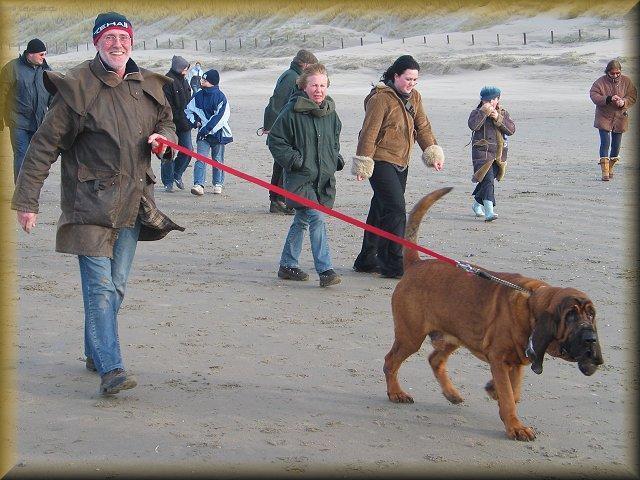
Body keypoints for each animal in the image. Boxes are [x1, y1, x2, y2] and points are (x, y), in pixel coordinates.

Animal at [384, 187, 604, 438]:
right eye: (570, 315)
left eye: (591, 314)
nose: (591, 338)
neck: (531, 306)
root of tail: (416, 264)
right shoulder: (499, 359)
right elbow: (509, 396)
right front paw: (515, 426)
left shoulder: (517, 362)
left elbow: (513, 392)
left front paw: (495, 392)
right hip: (410, 337)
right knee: (390, 362)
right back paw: (396, 392)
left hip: (454, 334)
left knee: (435, 360)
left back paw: (452, 394)